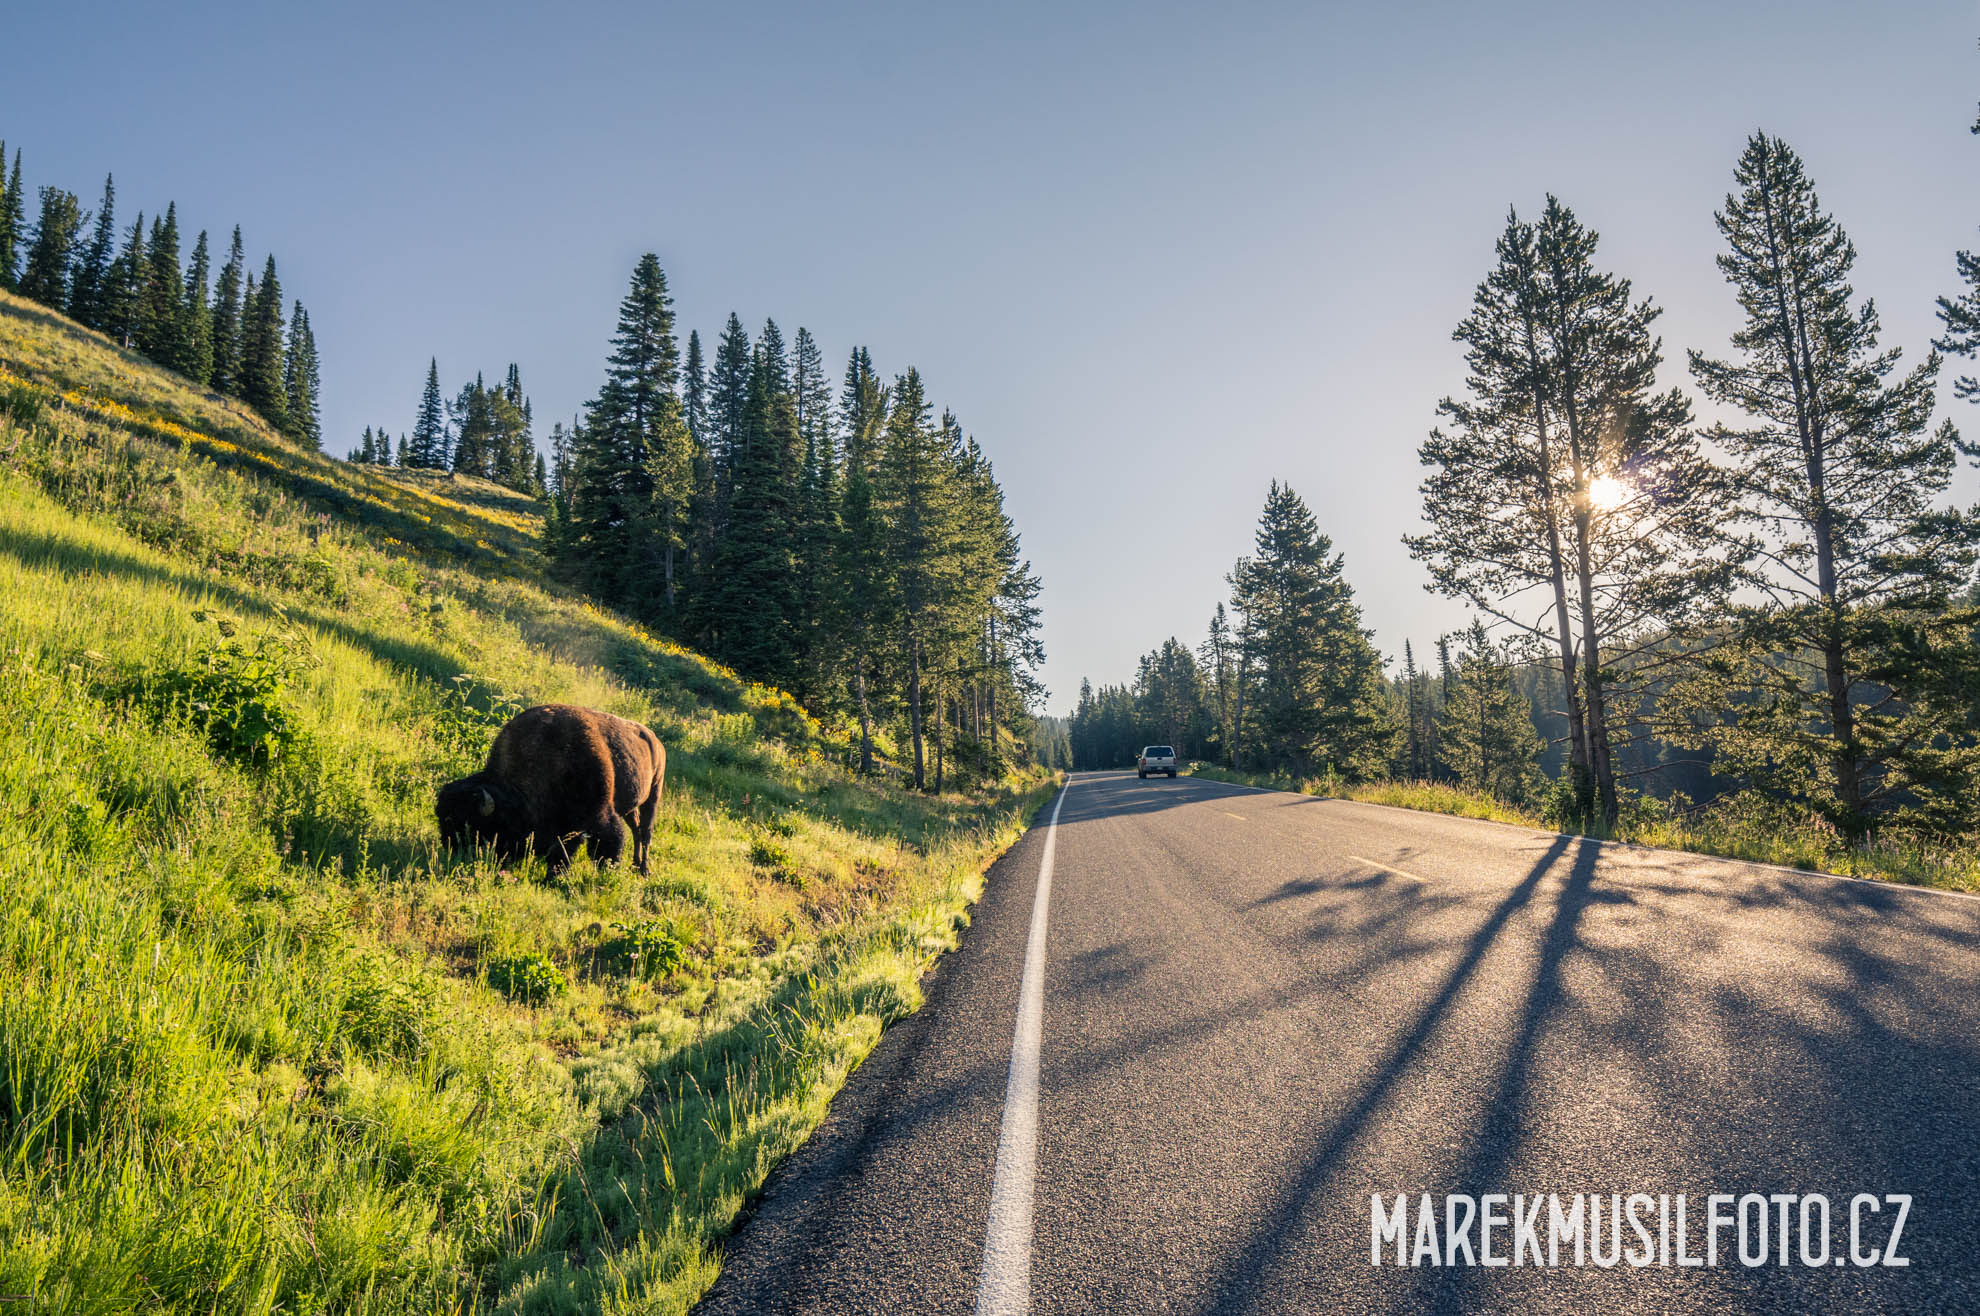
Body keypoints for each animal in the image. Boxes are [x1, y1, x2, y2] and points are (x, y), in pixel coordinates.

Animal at [436, 703, 666, 875]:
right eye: (442, 818)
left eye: (471, 825)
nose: (452, 852)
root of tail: (656, 740)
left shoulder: (599, 814)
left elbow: (604, 843)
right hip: (630, 807)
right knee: (636, 828)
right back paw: (635, 864)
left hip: (654, 793)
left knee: (645, 832)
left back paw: (643, 870)